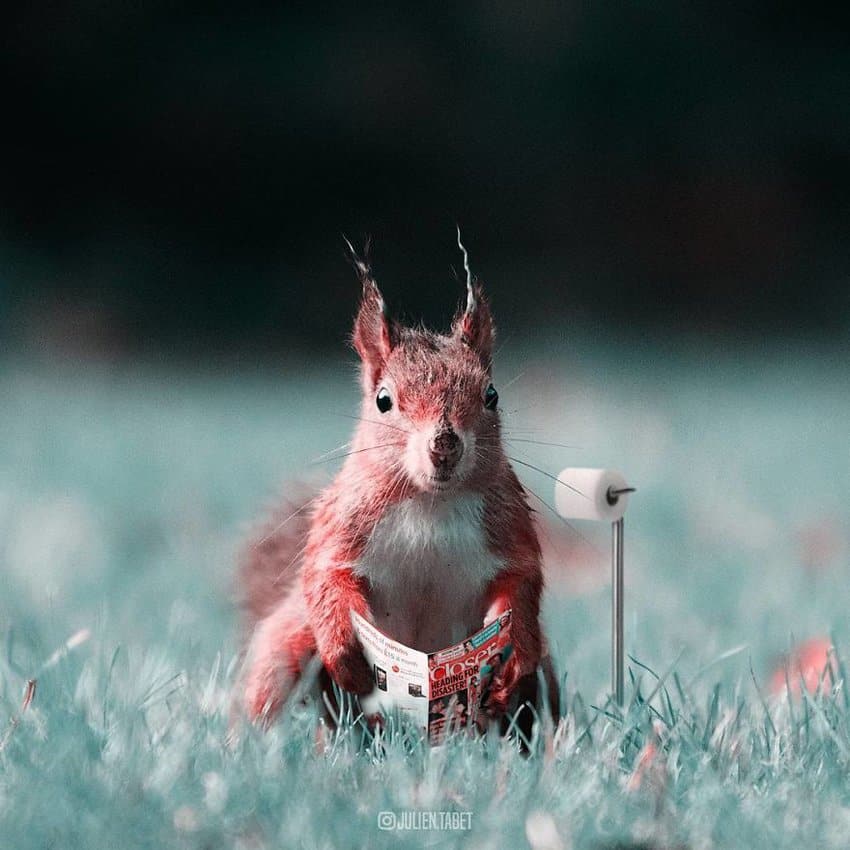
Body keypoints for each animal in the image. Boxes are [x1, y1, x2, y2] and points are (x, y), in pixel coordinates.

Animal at [237, 243, 556, 728]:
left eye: (492, 395)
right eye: (383, 401)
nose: (444, 445)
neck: (430, 504)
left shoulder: (510, 531)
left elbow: (520, 586)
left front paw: (511, 658)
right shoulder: (341, 527)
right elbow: (325, 578)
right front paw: (347, 657)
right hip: (287, 642)